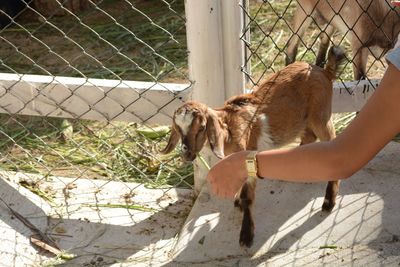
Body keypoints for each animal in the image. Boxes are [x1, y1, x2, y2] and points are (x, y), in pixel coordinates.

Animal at [161, 46, 346, 249]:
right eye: (178, 128)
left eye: (201, 127)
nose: (187, 153)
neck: (229, 129)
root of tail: (325, 72)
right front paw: (237, 202)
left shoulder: (246, 160)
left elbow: (248, 197)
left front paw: (246, 235)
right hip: (304, 119)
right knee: (309, 137)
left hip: (321, 116)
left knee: (332, 145)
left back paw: (328, 202)